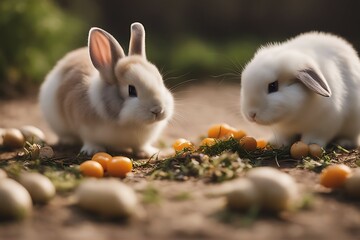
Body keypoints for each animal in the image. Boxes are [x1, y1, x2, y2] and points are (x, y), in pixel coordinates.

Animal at [38, 22, 174, 156]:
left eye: (161, 81)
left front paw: (147, 152)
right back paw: (68, 141)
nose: (157, 110)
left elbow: (140, 145)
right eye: (131, 90)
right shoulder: (86, 128)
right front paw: (93, 150)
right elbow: (90, 140)